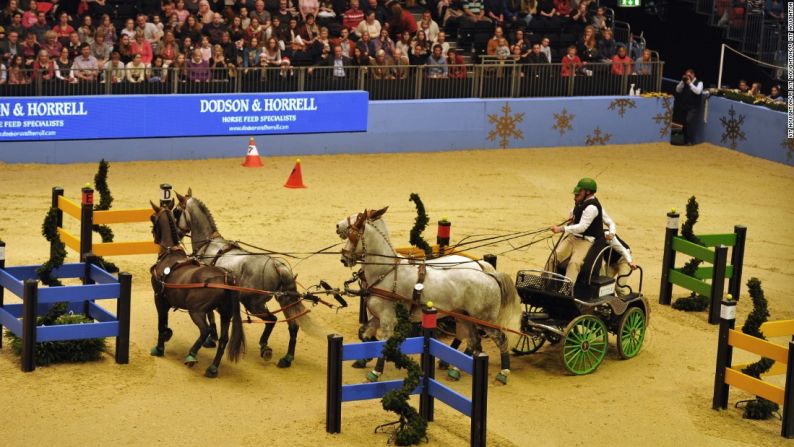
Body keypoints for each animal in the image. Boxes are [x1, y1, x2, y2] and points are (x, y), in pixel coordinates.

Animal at [149, 203, 244, 378]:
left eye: (153, 218)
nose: (154, 236)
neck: (169, 255)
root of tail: (226, 277)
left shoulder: (159, 298)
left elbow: (161, 323)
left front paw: (159, 348)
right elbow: (164, 324)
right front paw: (167, 335)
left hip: (196, 311)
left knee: (205, 330)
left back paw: (192, 355)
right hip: (226, 313)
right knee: (223, 339)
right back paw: (212, 368)